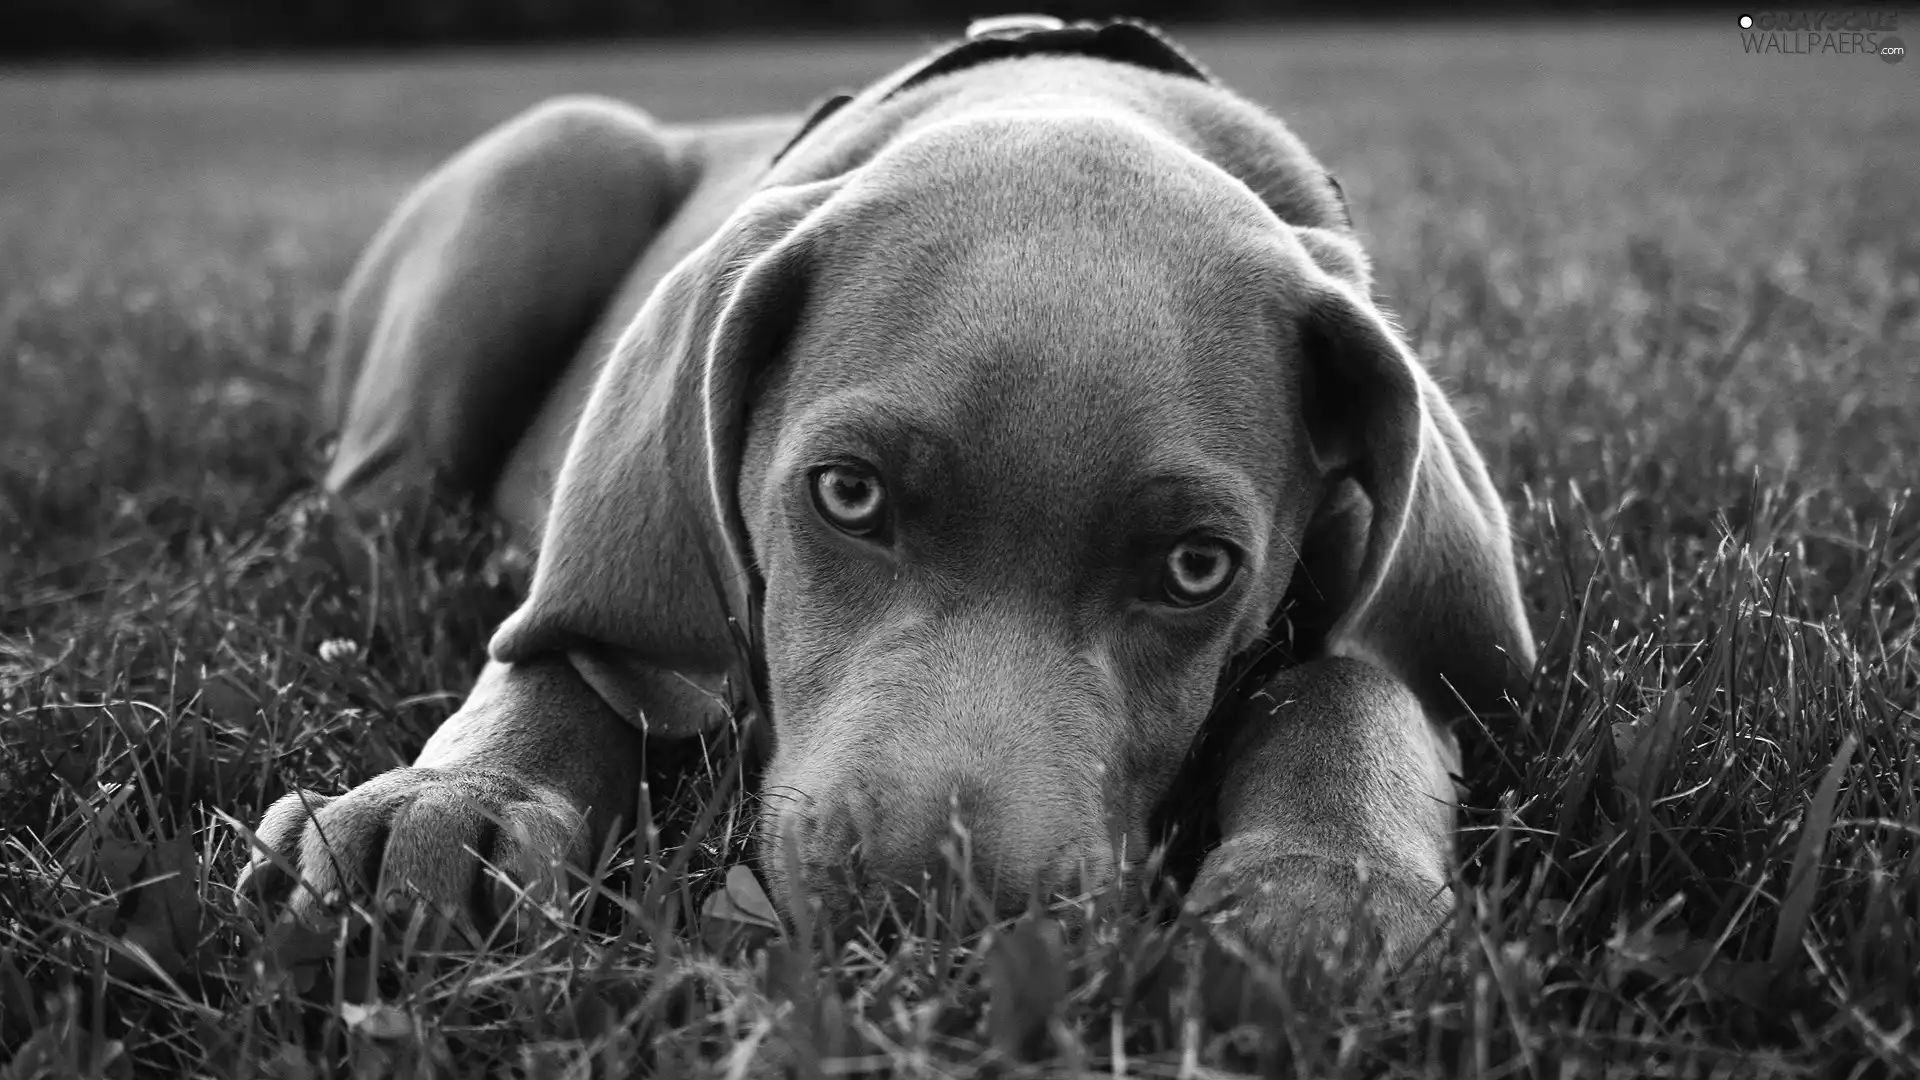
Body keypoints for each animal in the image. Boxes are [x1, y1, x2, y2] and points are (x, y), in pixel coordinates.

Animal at [240, 16, 1536, 957]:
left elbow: (1365, 677)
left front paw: (1329, 885)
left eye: (1196, 569)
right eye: (848, 495)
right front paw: (447, 802)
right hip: (561, 154)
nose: (933, 910)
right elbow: (566, 645)